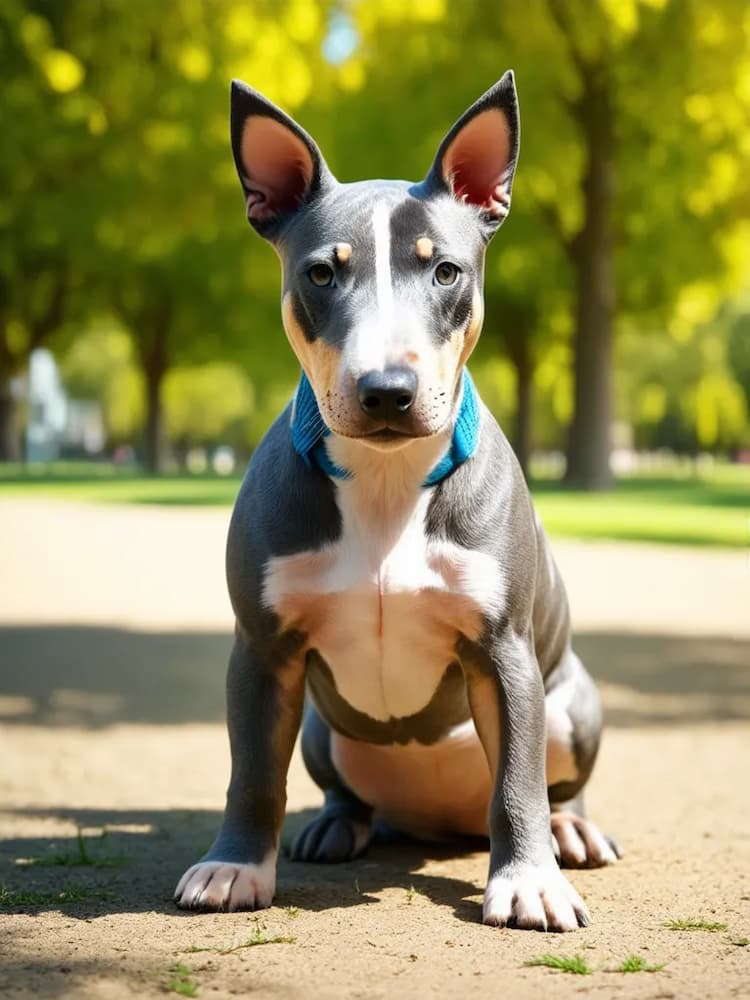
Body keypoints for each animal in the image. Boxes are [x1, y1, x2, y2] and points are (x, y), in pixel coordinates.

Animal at [173, 70, 620, 928]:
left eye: (445, 271)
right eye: (321, 273)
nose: (387, 389)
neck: (385, 482)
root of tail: (433, 826)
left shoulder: (504, 653)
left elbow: (518, 784)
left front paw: (530, 881)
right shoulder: (263, 650)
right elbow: (253, 773)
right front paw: (235, 865)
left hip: (573, 703)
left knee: (553, 785)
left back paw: (570, 832)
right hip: (321, 726)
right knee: (341, 789)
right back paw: (336, 825)